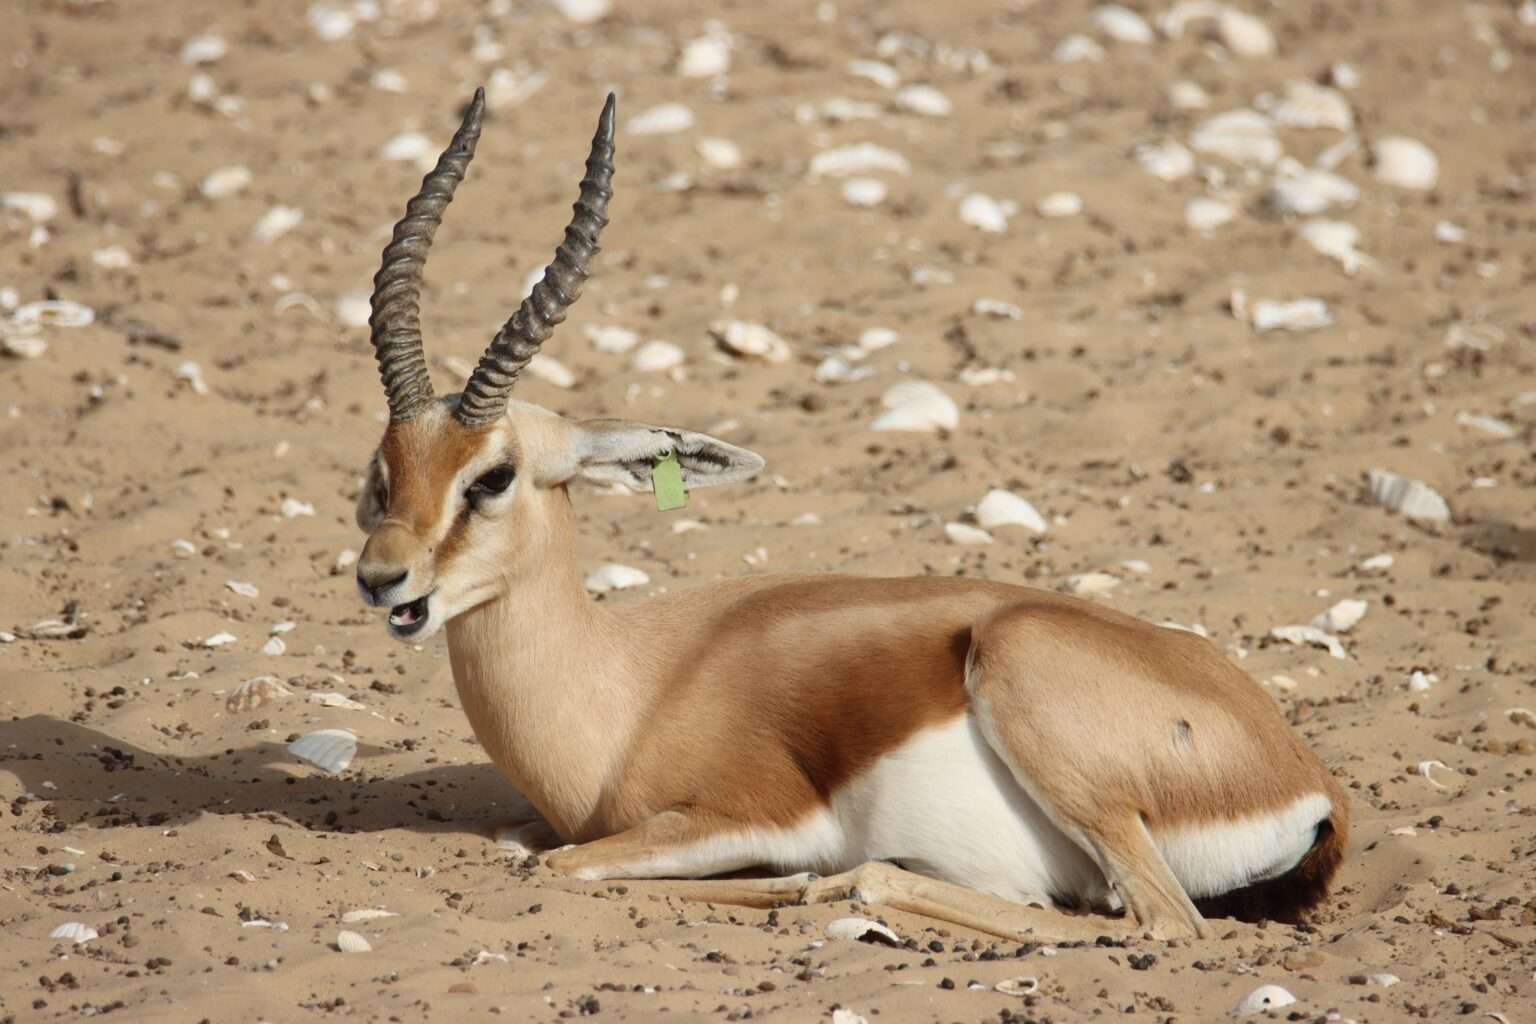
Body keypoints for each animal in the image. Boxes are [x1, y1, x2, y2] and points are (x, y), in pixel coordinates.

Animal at [352, 88, 1349, 942]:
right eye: (383, 472)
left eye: (492, 477)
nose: (380, 578)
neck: (628, 688)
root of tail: (1306, 783)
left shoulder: (744, 814)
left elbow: (562, 865)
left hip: (1031, 690)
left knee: (1149, 919)